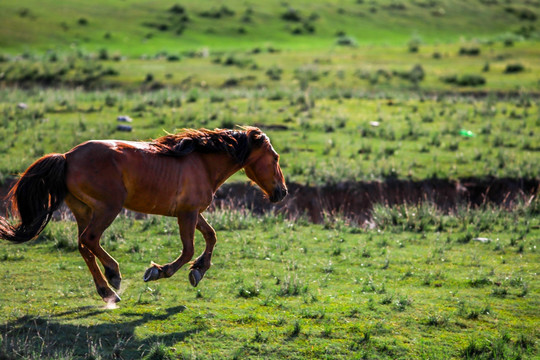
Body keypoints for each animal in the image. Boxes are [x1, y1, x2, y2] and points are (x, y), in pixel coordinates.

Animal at [0, 128, 288, 302]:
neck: (202, 164)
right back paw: (113, 275)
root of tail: (67, 156)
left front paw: (199, 271)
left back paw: (106, 291)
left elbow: (211, 236)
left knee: (83, 246)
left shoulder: (192, 212)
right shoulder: (187, 214)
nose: (282, 192)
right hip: (107, 208)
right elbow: (188, 250)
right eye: (275, 158)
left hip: (84, 210)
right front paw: (159, 271)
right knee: (90, 240)